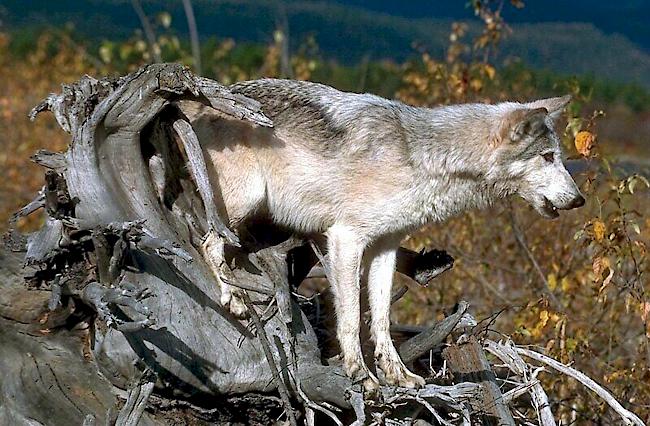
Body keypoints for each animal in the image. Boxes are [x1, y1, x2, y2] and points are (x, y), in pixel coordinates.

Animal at [181, 78, 584, 392]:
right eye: (548, 157)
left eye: (558, 156)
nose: (579, 199)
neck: (423, 159)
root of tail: (193, 99)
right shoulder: (346, 239)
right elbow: (349, 318)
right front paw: (361, 375)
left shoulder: (386, 247)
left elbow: (381, 319)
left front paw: (397, 374)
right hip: (243, 204)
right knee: (208, 243)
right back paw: (233, 297)